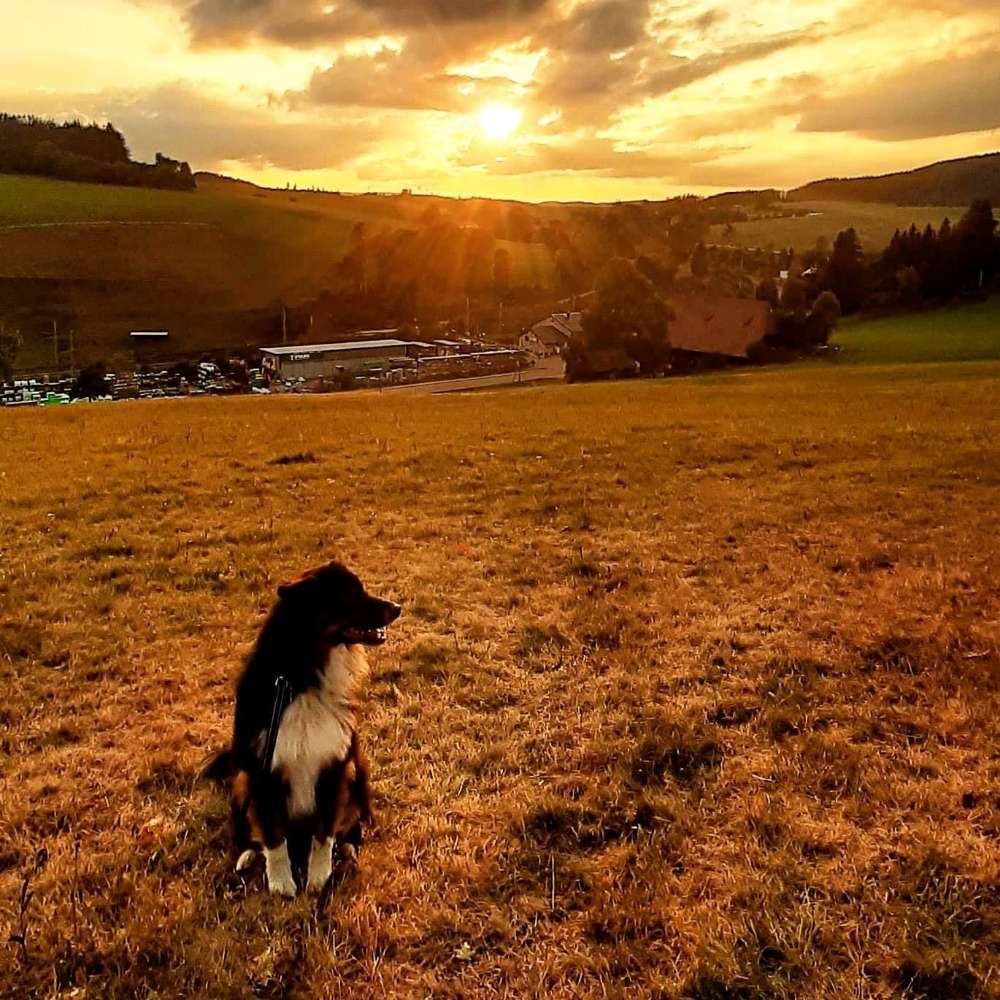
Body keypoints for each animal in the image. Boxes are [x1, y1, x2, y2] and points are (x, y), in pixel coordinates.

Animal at [205, 564, 400, 900]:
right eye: (351, 594)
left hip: (356, 770)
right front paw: (282, 882)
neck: (301, 678)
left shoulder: (334, 766)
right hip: (242, 781)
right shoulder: (262, 770)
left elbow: (324, 834)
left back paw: (347, 852)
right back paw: (247, 855)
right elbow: (273, 836)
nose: (397, 608)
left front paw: (319, 877)